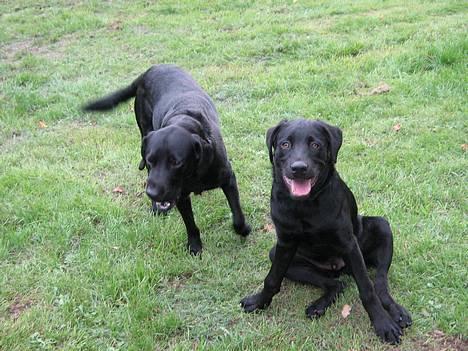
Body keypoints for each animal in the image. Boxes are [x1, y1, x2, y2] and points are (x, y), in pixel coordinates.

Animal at [84, 64, 252, 254]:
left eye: (176, 162)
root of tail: (149, 71)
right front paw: (194, 246)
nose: (152, 193)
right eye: (150, 160)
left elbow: (237, 216)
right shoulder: (180, 195)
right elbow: (190, 224)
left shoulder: (228, 178)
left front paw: (244, 229)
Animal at [241, 119, 410, 346]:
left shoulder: (349, 244)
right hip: (282, 256)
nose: (299, 168)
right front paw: (260, 302)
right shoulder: (284, 243)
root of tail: (340, 268)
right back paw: (319, 305)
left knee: (379, 283)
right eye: (285, 144)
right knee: (335, 284)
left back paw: (396, 312)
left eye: (316, 145)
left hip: (381, 227)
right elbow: (272, 279)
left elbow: (367, 289)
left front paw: (383, 324)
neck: (305, 205)